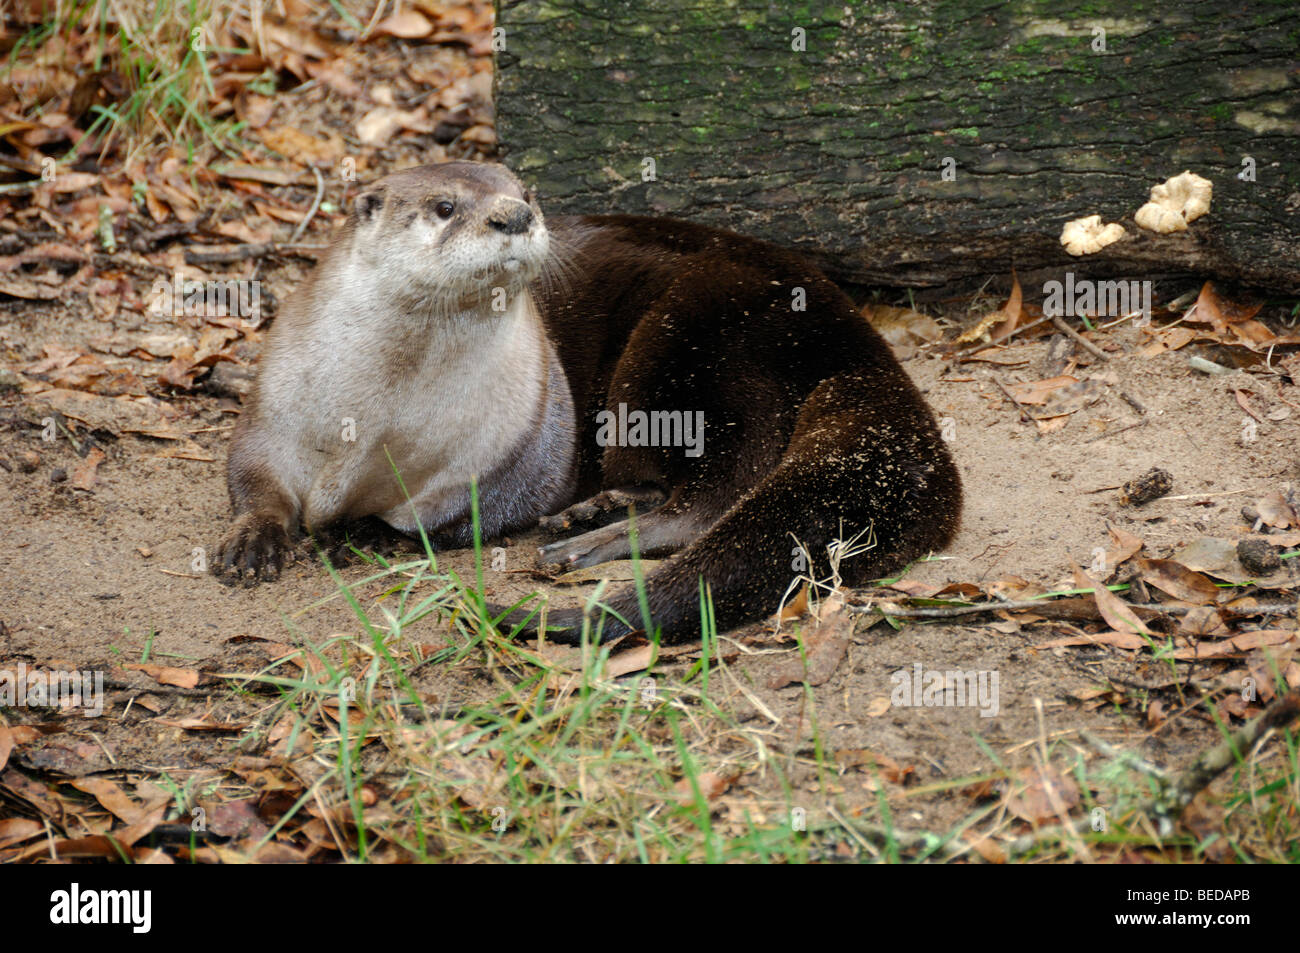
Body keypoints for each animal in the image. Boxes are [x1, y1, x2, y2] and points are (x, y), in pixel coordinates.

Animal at [214, 161, 961, 644]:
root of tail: (848, 330)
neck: (378, 424)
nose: (516, 215)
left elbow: (458, 515)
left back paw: (583, 543)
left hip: (691, 350)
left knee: (716, 494)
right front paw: (252, 542)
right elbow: (253, 475)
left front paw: (366, 532)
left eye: (526, 192)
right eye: (445, 207)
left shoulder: (516, 446)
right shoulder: (275, 407)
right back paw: (594, 512)